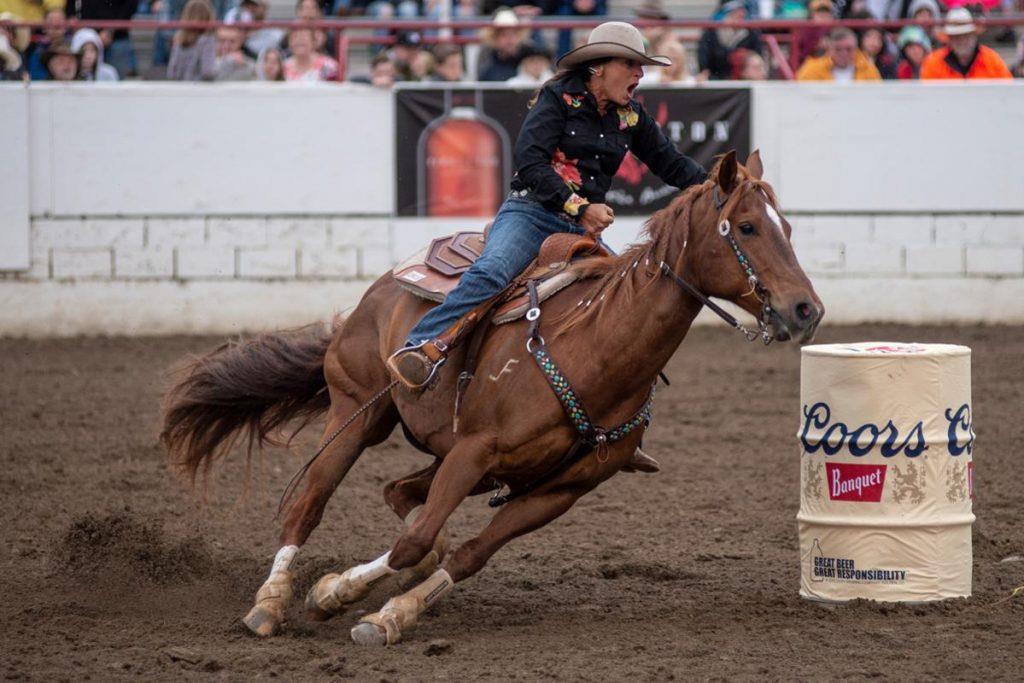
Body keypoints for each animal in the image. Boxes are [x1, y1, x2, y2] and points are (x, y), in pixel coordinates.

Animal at [159, 149, 823, 647]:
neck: (595, 347)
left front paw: (388, 612)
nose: (805, 310)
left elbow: (467, 552)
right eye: (747, 227)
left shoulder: (560, 490)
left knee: (399, 495)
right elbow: (419, 539)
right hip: (359, 412)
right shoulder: (474, 451)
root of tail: (375, 293)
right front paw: (336, 595)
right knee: (311, 502)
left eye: (790, 228)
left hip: (460, 459)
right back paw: (269, 605)